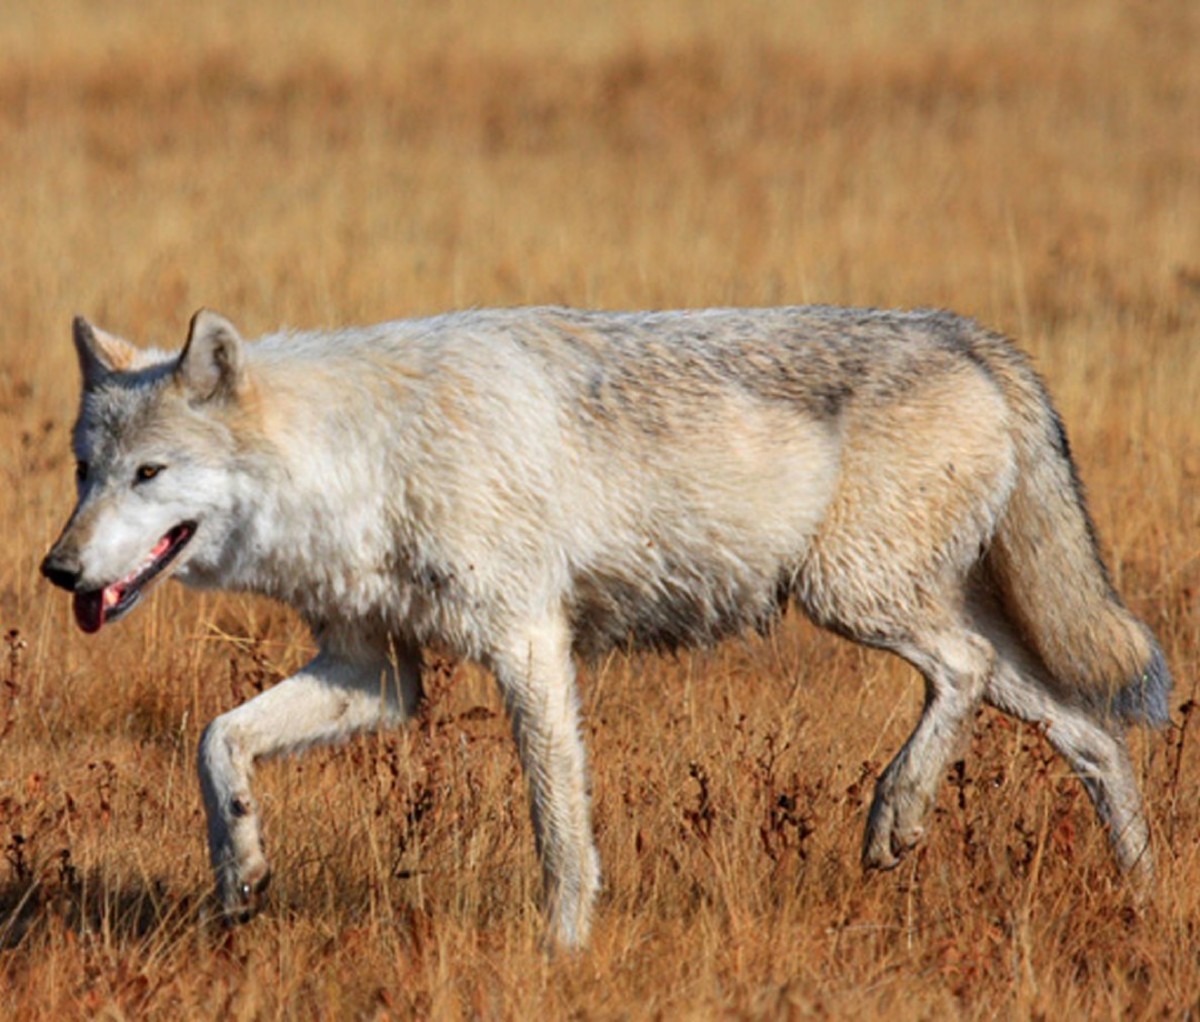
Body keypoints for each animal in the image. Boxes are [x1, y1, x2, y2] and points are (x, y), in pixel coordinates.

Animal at [42, 303, 1166, 950]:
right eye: (86, 472)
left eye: (150, 474)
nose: (58, 570)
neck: (365, 457)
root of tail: (966, 333)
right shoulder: (377, 676)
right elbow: (214, 740)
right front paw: (239, 868)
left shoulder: (528, 645)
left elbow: (558, 828)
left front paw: (565, 950)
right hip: (931, 619)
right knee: (1098, 735)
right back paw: (1144, 895)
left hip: (854, 597)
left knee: (965, 672)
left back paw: (897, 814)